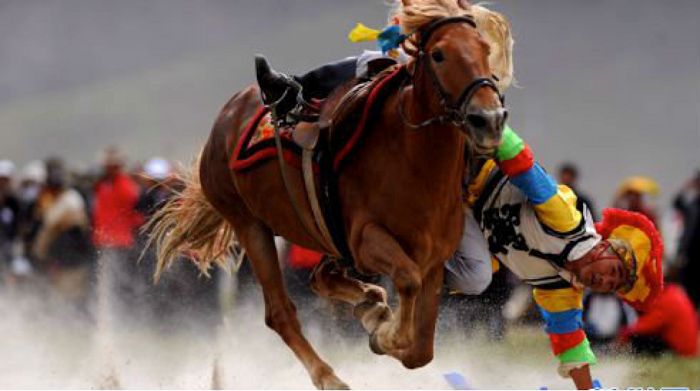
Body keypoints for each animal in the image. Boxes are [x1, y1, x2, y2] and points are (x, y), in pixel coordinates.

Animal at [150, 0, 506, 388]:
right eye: (439, 54)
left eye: (485, 49)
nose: (489, 119)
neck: (413, 161)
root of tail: (228, 114)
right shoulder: (366, 240)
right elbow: (406, 285)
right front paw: (384, 333)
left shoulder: (434, 260)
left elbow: (420, 351)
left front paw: (378, 320)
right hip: (250, 226)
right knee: (280, 312)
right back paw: (330, 374)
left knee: (321, 279)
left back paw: (370, 303)